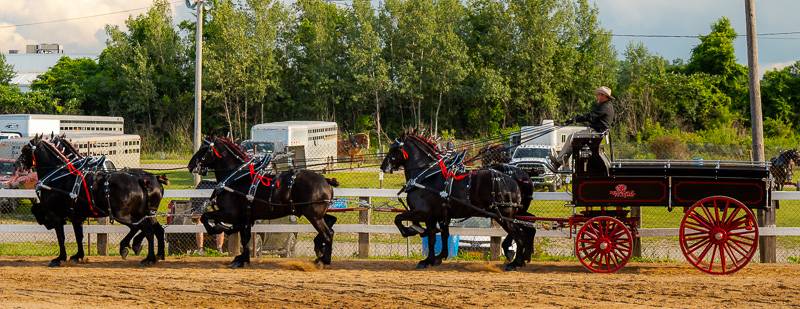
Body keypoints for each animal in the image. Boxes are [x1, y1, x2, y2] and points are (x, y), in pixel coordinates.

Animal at [16, 134, 166, 264]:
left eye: (25, 149)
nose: (17, 165)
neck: (59, 176)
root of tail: (144, 180)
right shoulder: (76, 216)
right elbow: (79, 236)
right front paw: (78, 256)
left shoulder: (56, 215)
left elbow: (61, 237)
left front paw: (60, 258)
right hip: (146, 213)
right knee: (156, 229)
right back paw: (156, 254)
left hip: (124, 215)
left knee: (146, 230)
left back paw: (146, 256)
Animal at [188, 136, 338, 266]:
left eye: (204, 148)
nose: (190, 165)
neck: (237, 178)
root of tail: (325, 180)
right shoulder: (245, 219)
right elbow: (245, 238)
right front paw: (242, 259)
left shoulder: (230, 214)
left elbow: (206, 217)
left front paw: (220, 228)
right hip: (316, 213)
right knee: (331, 222)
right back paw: (320, 251)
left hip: (313, 215)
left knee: (328, 233)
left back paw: (324, 259)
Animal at [382, 131, 536, 268]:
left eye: (394, 149)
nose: (383, 166)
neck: (427, 176)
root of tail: (514, 180)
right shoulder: (440, 215)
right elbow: (442, 235)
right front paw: (438, 257)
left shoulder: (424, 213)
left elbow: (402, 220)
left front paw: (424, 254)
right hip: (514, 214)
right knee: (529, 228)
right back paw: (522, 258)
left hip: (504, 215)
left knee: (519, 235)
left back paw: (515, 262)